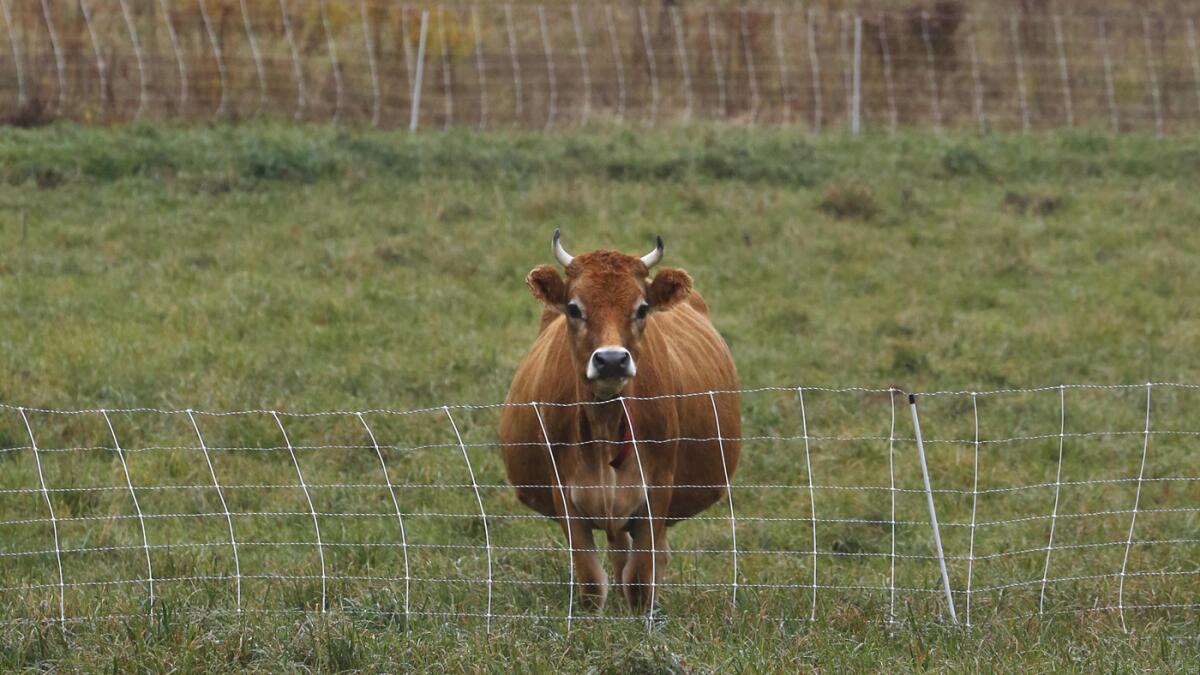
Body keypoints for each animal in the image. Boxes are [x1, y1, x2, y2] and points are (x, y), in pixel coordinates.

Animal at [496, 229, 739, 610]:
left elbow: (639, 581)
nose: (611, 360)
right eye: (574, 308)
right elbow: (592, 585)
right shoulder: (564, 496)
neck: (605, 425)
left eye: (641, 308)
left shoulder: (656, 493)